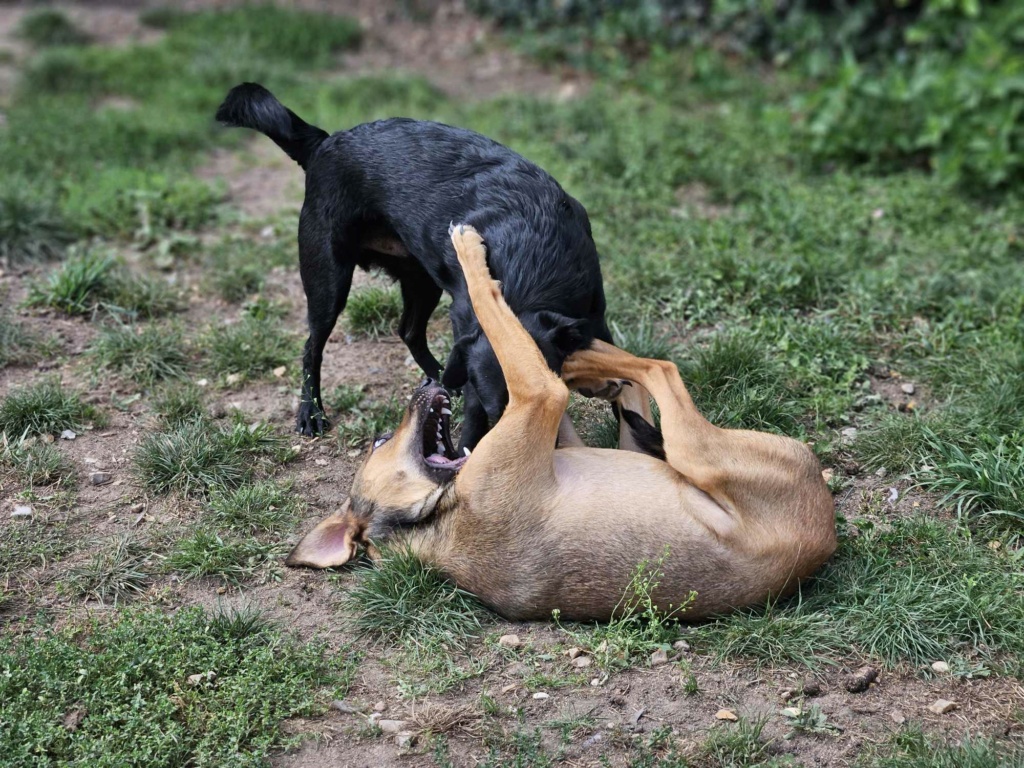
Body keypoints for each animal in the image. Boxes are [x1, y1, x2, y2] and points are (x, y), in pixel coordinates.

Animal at [217, 83, 610, 450]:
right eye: (498, 412)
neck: (530, 258)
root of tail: (325, 143)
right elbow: (472, 411)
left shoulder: (594, 313)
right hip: (328, 281)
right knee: (312, 345)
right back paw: (311, 412)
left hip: (421, 280)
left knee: (408, 330)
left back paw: (439, 376)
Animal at [288, 224, 839, 626]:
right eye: (381, 439)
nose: (424, 387)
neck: (433, 519)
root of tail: (824, 542)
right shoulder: (538, 397)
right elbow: (499, 316)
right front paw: (470, 256)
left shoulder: (547, 418)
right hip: (698, 451)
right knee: (661, 370)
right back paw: (589, 358)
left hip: (654, 452)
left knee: (634, 392)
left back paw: (592, 366)